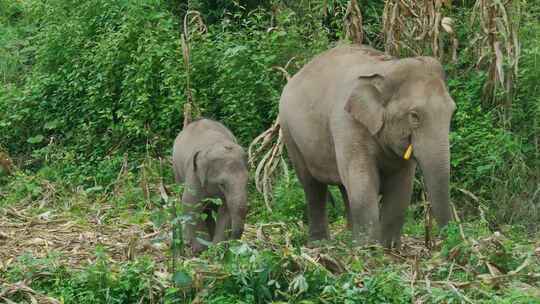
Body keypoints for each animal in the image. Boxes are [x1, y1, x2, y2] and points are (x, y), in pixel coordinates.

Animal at [173, 119, 249, 254]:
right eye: (222, 184)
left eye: (247, 181)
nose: (232, 242)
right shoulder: (194, 173)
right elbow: (190, 204)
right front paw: (201, 249)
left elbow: (225, 211)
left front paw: (217, 248)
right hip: (177, 171)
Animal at [278, 45, 456, 249]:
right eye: (414, 116)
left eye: (452, 111)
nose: (447, 240)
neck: (387, 68)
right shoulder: (347, 123)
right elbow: (364, 182)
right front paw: (368, 249)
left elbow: (402, 186)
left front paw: (388, 248)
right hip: (289, 132)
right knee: (313, 187)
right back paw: (320, 244)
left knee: (344, 188)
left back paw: (350, 239)